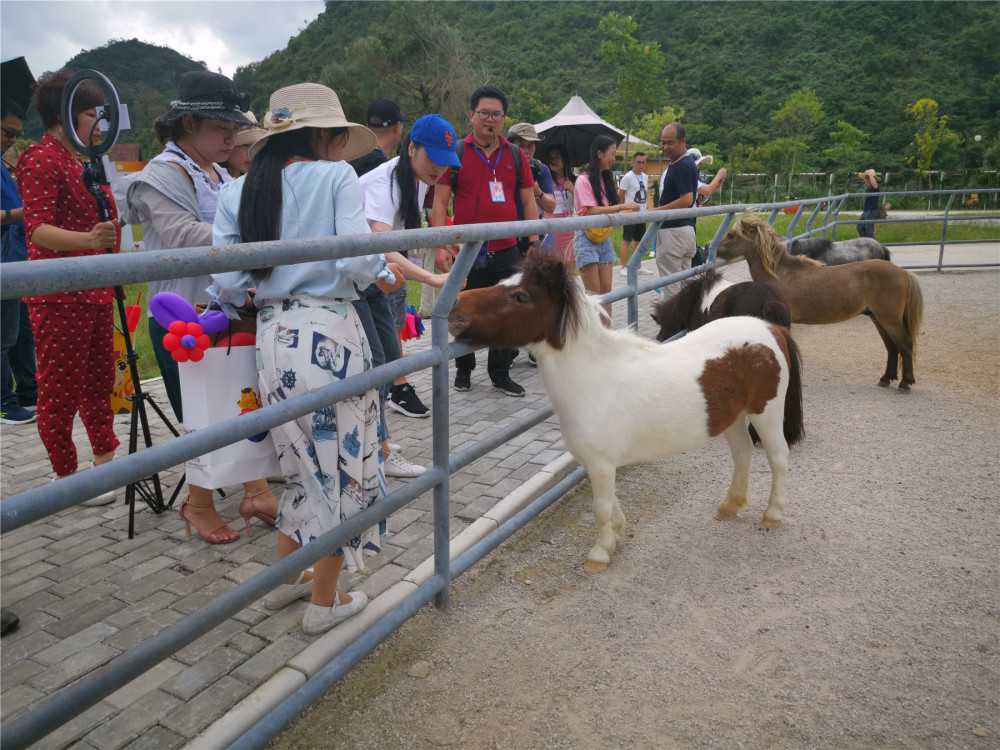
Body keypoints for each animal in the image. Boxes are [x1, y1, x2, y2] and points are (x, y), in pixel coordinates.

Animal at [716, 212, 923, 390]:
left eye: (731, 234)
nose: (711, 245)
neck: (780, 274)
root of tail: (903, 273)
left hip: (889, 319)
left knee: (904, 345)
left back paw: (905, 382)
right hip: (878, 318)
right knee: (892, 347)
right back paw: (886, 378)